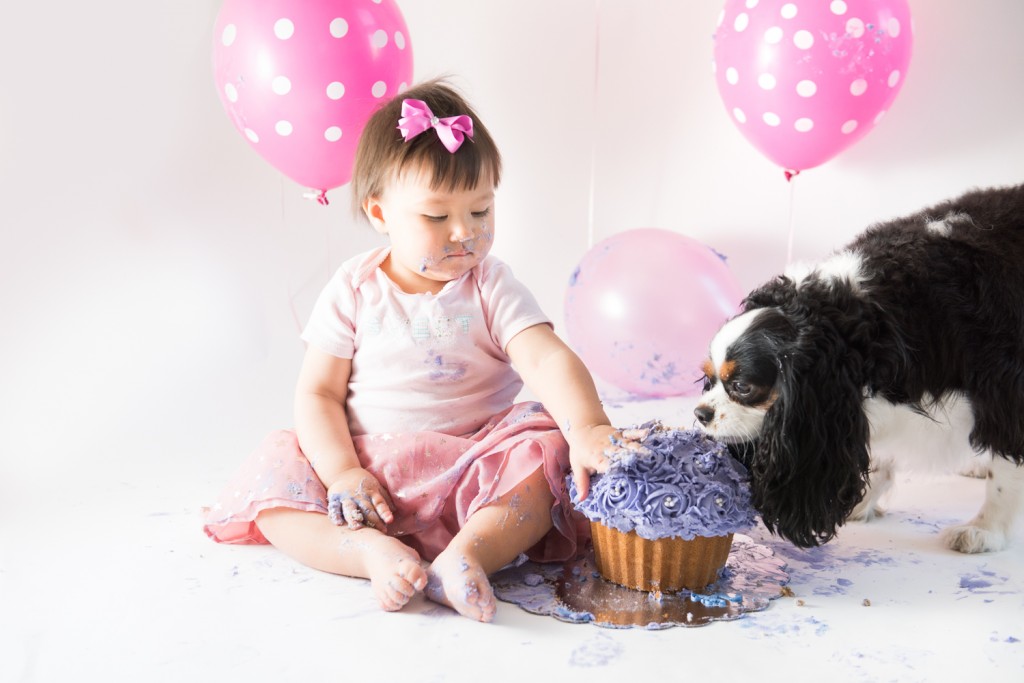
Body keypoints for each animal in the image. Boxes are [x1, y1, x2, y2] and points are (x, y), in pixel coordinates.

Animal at [696, 184, 1024, 552]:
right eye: (709, 378)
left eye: (743, 387)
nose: (700, 413)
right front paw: (861, 503)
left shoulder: (1006, 388)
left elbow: (1005, 469)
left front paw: (986, 529)